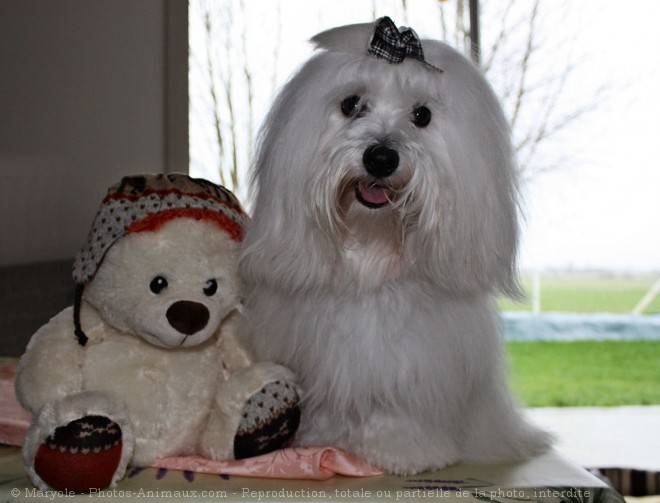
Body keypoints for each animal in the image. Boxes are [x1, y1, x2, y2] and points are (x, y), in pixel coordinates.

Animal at [240, 17, 548, 474]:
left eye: (422, 115)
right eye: (351, 104)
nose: (381, 157)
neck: (373, 253)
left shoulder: (414, 363)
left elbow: (398, 409)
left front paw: (402, 452)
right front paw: (323, 440)